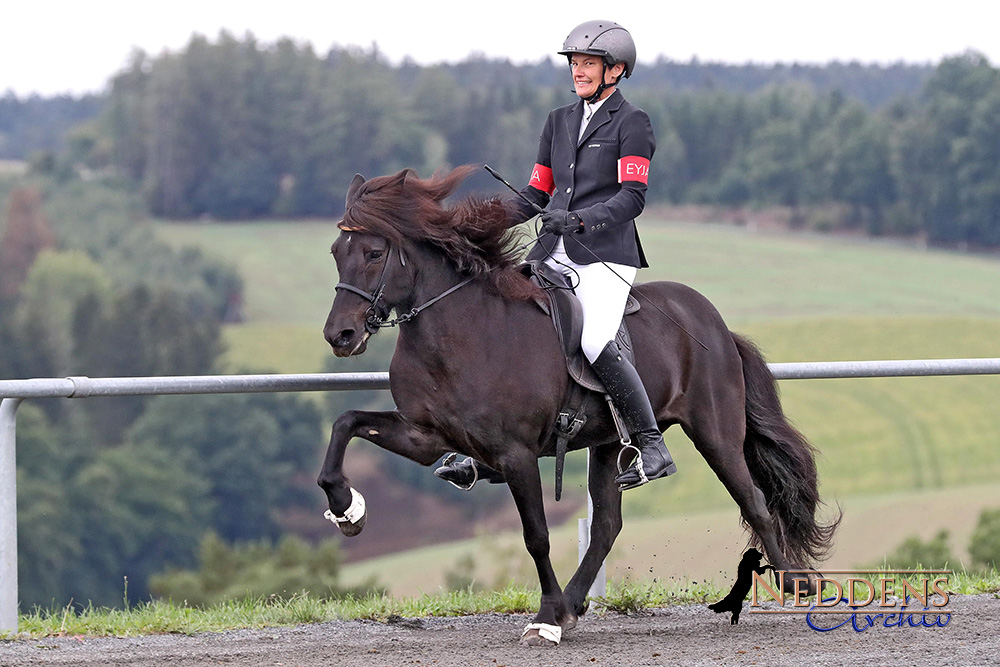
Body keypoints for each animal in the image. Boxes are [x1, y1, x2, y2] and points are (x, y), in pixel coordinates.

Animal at [318, 167, 836, 648]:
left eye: (374, 253)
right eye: (337, 253)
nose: (340, 336)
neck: (457, 332)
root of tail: (718, 326)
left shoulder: (516, 454)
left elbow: (537, 535)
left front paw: (545, 618)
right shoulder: (424, 436)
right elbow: (346, 424)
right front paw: (347, 510)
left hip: (715, 434)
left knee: (755, 504)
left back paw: (797, 584)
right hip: (608, 444)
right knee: (607, 525)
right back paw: (573, 602)